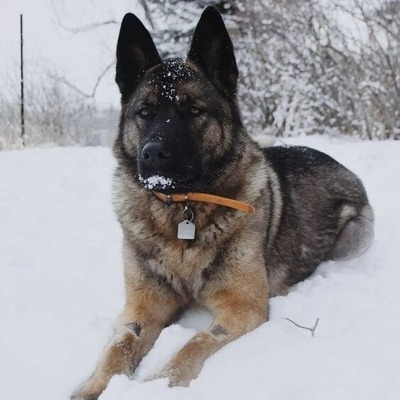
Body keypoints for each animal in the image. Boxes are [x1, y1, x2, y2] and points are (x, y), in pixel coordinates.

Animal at [72, 7, 376, 400]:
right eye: (145, 112)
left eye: (194, 111)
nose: (151, 155)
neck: (182, 212)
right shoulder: (143, 307)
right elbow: (119, 346)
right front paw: (92, 387)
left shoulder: (241, 308)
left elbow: (194, 344)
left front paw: (156, 386)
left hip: (355, 239)